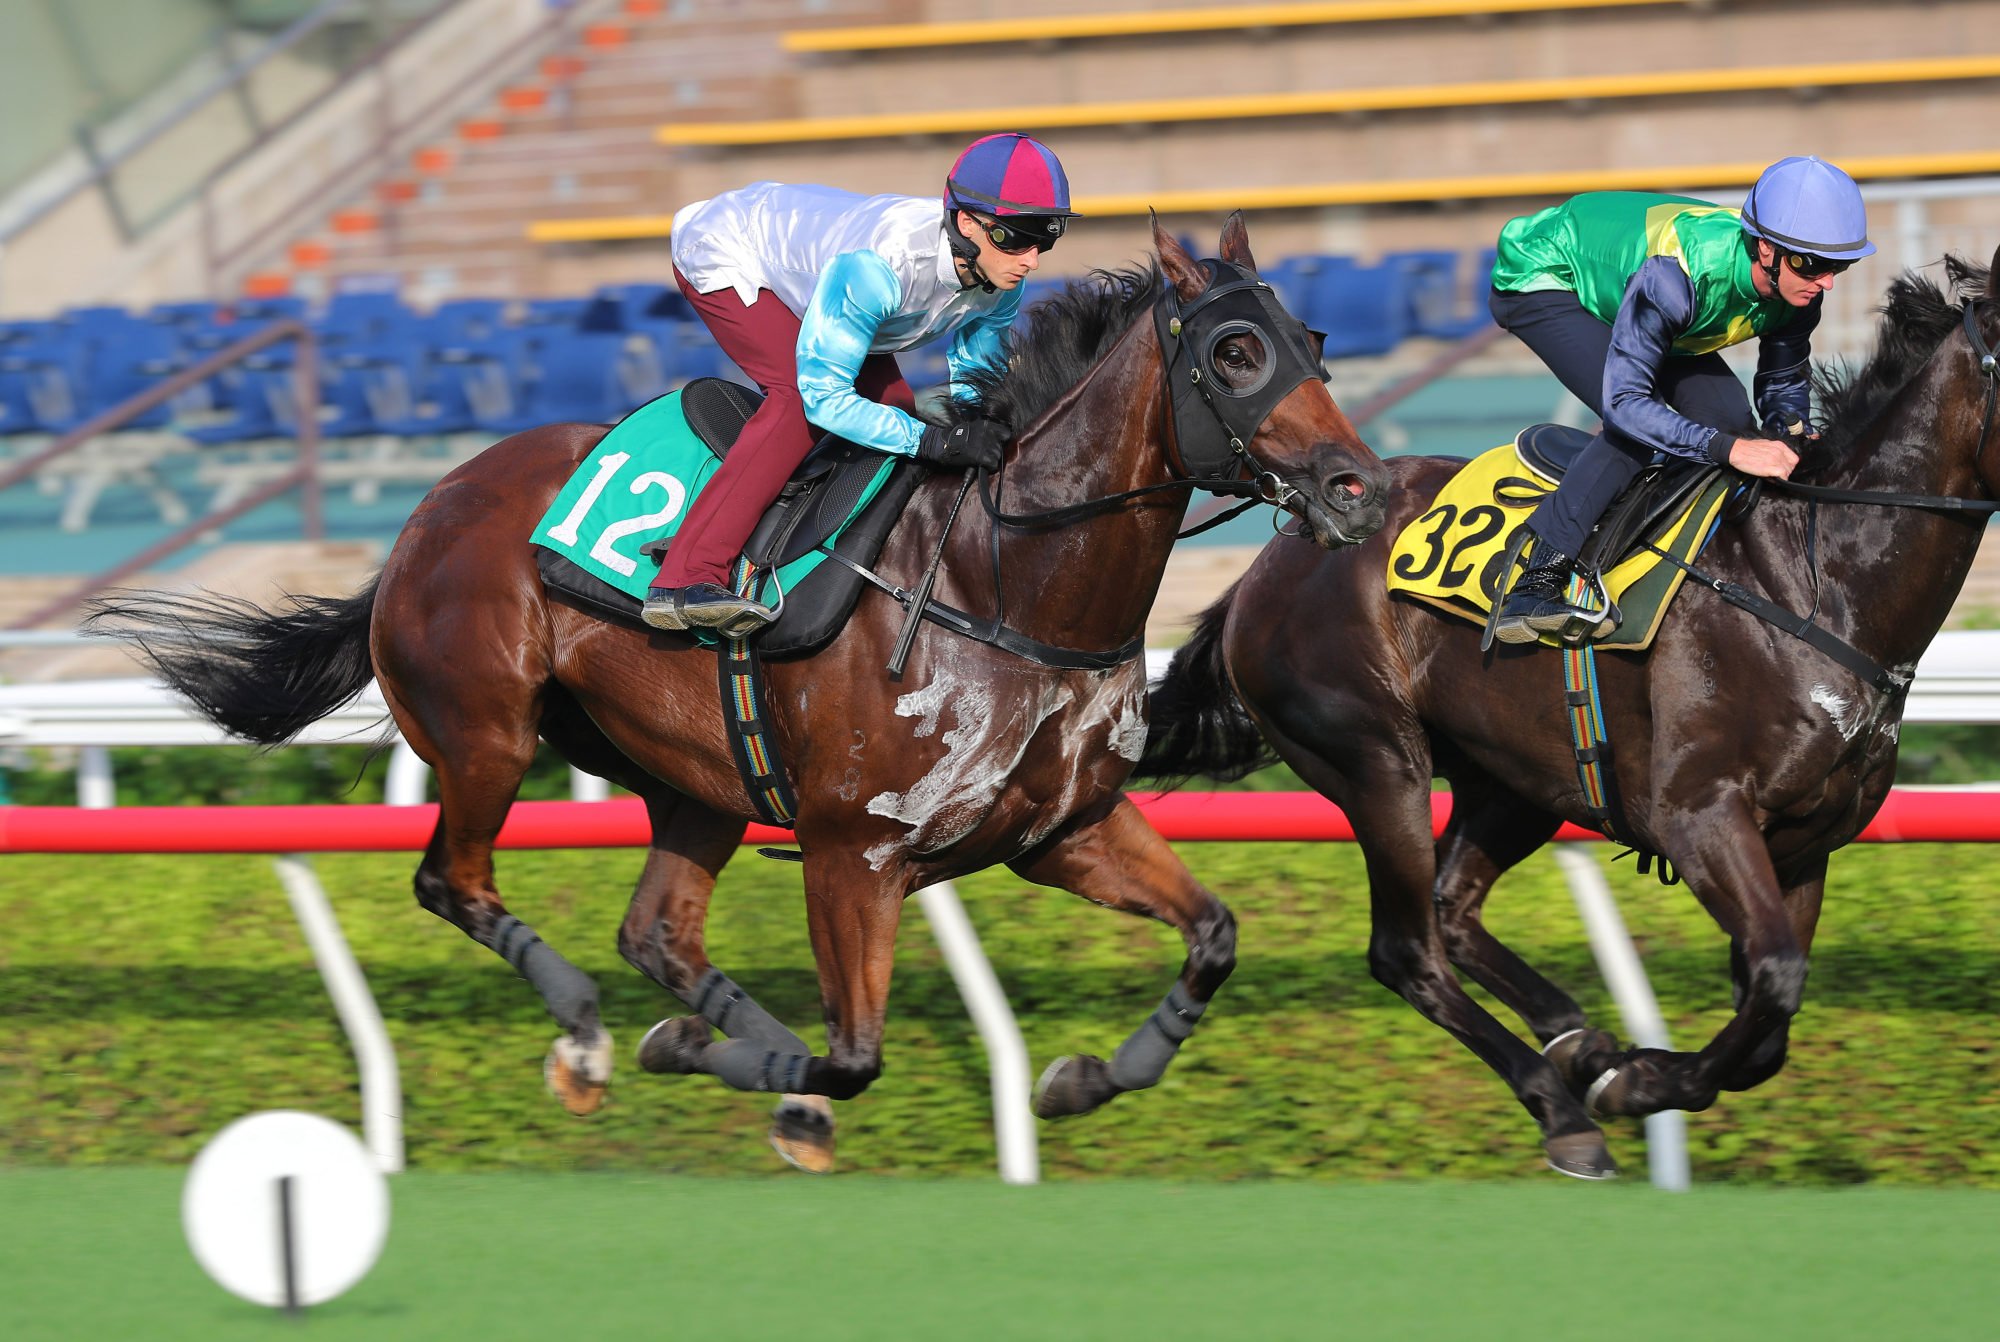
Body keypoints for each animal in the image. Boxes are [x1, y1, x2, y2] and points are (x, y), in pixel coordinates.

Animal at [90, 215, 1392, 1168]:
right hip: (484, 734)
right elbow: (854, 1054)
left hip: (695, 779)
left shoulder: (1061, 827)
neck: (1008, 581)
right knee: (453, 881)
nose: (1357, 487)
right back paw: (590, 1041)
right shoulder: (853, 850)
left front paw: (1080, 1079)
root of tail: (432, 506)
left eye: (1314, 340)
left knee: (656, 931)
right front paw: (710, 1065)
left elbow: (1214, 936)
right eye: (1231, 353)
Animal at [1144, 249, 2000, 1176]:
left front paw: (1627, 1067)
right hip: (1375, 761)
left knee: (1454, 907)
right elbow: (1773, 980)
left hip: (1515, 778)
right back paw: (1564, 1106)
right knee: (1407, 949)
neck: (1815, 583)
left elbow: (1769, 1018)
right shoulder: (1699, 816)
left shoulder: (1808, 843)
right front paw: (1642, 1082)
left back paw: (1577, 1044)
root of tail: (1273, 557)